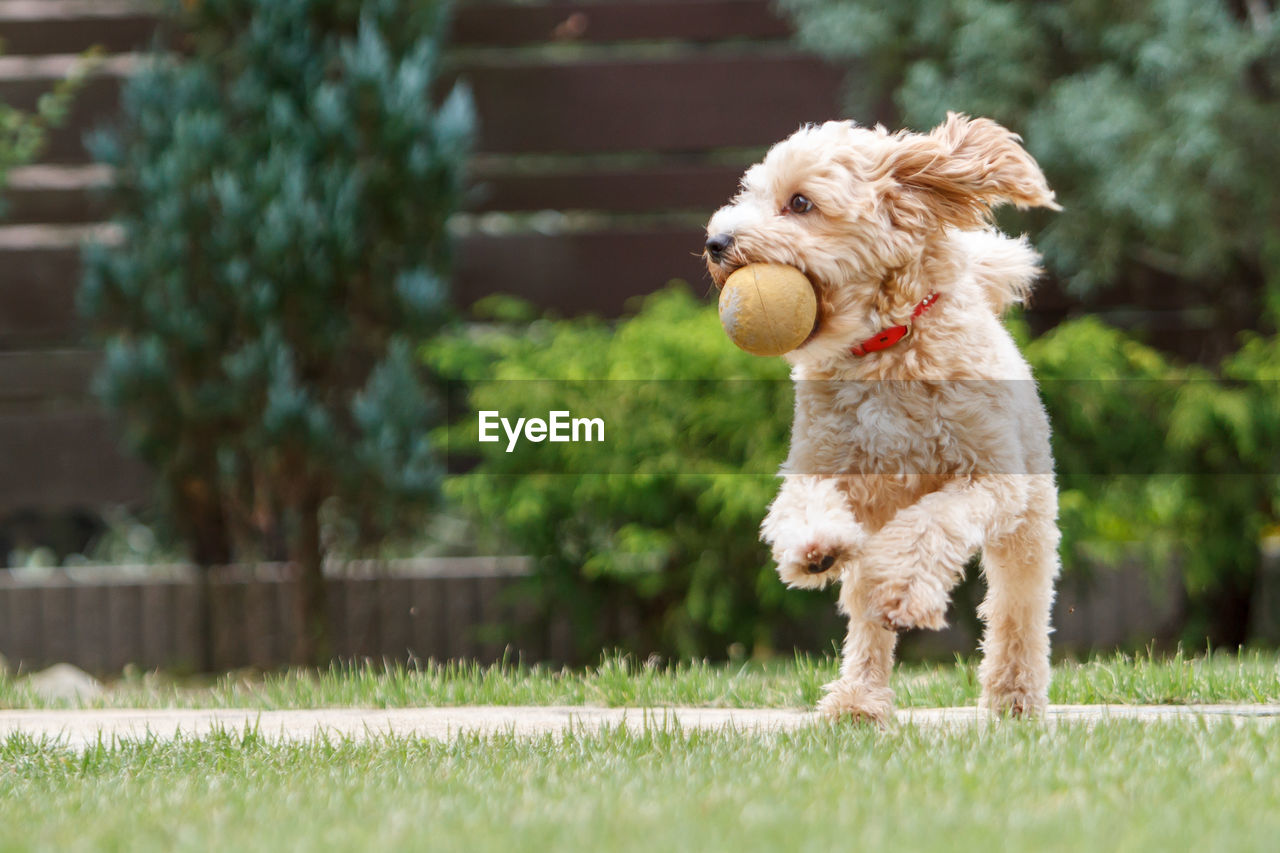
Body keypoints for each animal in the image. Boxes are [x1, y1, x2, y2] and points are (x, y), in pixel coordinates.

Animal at [706, 112, 1054, 722]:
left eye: (800, 202)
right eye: (751, 194)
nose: (715, 242)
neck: (884, 347)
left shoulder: (989, 478)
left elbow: (934, 523)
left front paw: (908, 592)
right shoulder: (821, 460)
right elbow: (802, 506)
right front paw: (814, 547)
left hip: (1028, 525)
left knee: (1019, 604)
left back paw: (1013, 696)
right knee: (866, 613)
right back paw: (858, 700)